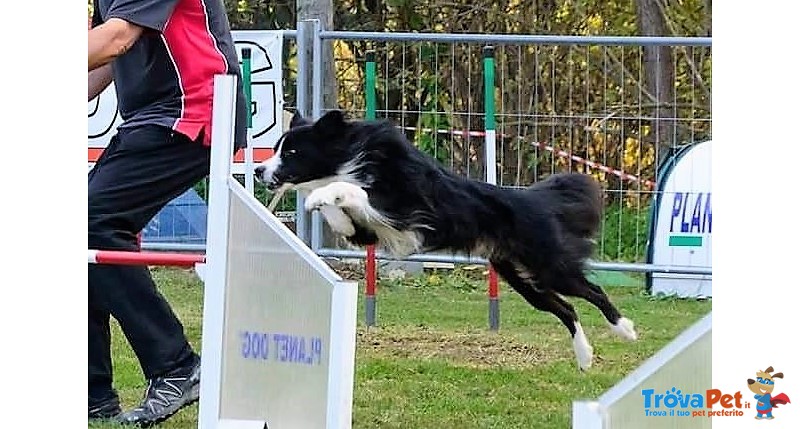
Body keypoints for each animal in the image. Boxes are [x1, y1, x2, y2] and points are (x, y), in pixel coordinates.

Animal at [255, 110, 636, 372]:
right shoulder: (368, 231)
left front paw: (320, 195)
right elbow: (342, 214)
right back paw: (585, 357)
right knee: (565, 308)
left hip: (548, 265)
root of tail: (534, 201)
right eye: (276, 149)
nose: (258, 171)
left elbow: (351, 190)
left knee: (591, 291)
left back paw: (625, 330)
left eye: (291, 153)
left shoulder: (403, 207)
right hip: (520, 278)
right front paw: (317, 202)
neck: (349, 155)